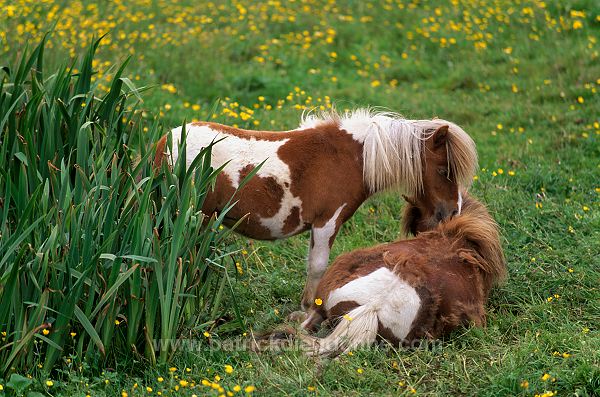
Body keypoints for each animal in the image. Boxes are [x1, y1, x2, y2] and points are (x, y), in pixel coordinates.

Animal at [155, 108, 478, 310]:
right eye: (444, 170)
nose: (453, 212)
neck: (353, 157)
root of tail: (164, 144)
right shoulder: (327, 222)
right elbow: (318, 267)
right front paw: (309, 309)